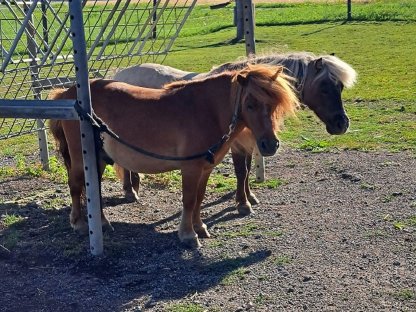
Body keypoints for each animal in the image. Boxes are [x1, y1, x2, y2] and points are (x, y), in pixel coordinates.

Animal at [51, 64, 300, 247]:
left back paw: (101, 222)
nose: (270, 145)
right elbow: (188, 199)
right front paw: (188, 235)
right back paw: (80, 224)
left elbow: (199, 198)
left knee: (94, 189)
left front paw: (200, 227)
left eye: (273, 104)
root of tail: (68, 93)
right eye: (249, 104)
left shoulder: (205, 169)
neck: (207, 110)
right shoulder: (190, 168)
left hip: (99, 158)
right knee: (75, 186)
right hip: (81, 157)